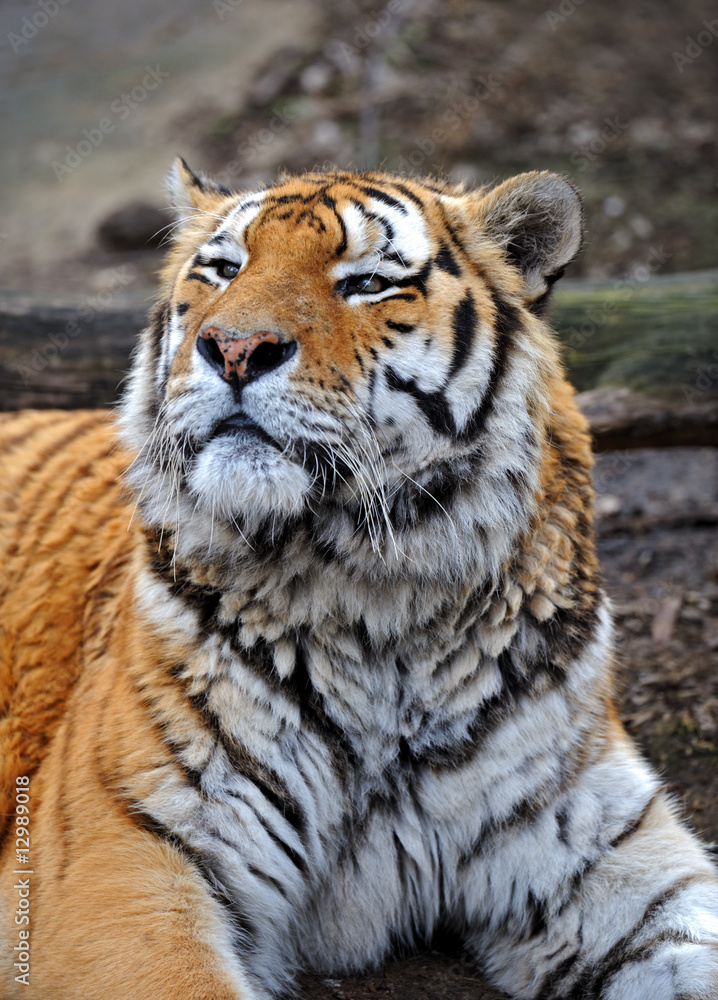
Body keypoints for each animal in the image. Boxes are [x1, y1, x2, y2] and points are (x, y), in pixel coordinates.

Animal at [1, 161, 717, 1000]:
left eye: (368, 283)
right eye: (224, 269)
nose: (234, 348)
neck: (380, 602)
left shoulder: (599, 835)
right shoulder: (122, 855)